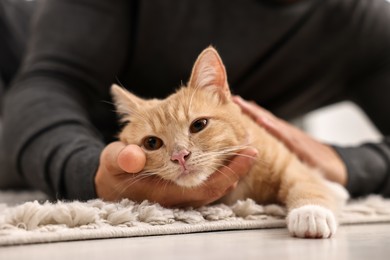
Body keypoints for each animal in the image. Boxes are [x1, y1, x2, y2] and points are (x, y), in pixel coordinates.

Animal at [111, 46, 348, 238]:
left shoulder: (287, 163)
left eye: (199, 125)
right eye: (152, 143)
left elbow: (305, 181)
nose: (180, 156)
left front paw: (311, 212)